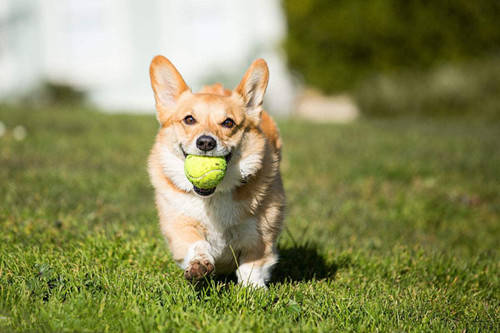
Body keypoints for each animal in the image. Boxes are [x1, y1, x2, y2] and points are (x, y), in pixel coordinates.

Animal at [147, 55, 286, 286]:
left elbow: (252, 264)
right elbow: (196, 244)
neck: (213, 197)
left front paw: (253, 288)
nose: (205, 142)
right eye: (189, 119)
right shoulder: (180, 226)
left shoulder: (260, 235)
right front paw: (199, 264)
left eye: (228, 123)